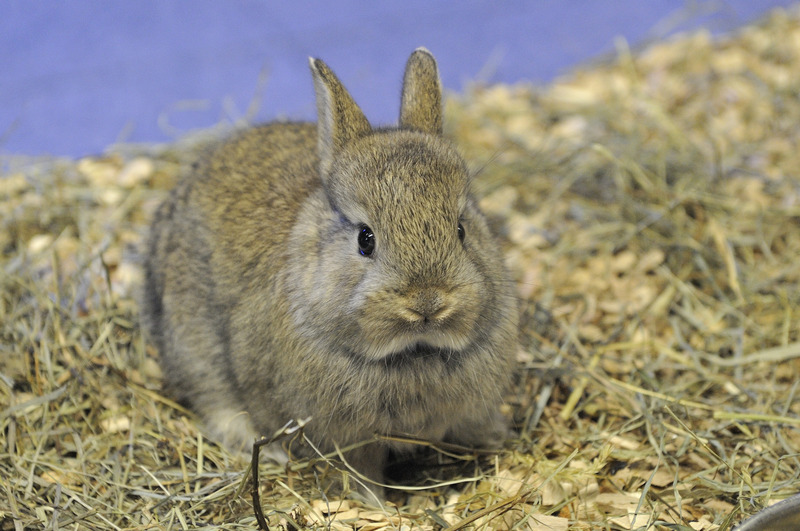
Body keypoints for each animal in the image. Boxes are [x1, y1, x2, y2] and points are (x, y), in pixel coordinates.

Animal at [142, 47, 520, 500]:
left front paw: (497, 440)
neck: (415, 352)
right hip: (193, 343)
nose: (427, 302)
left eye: (461, 229)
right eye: (365, 239)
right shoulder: (348, 440)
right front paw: (374, 503)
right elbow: (360, 471)